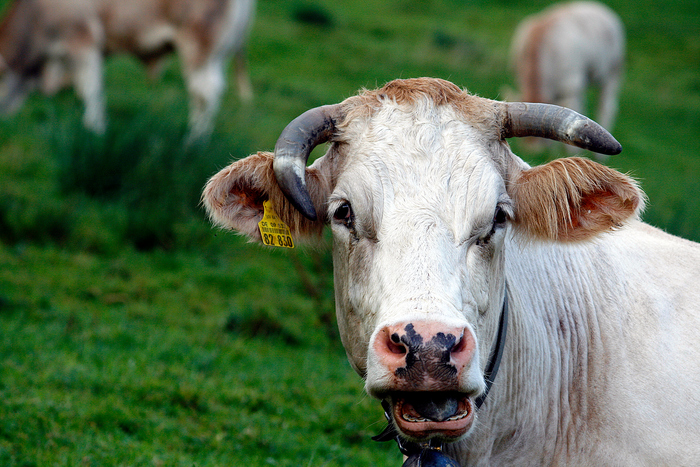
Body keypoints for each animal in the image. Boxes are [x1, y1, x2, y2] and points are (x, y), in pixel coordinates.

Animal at [0, 0, 256, 141]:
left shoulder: (84, 41)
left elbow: (91, 89)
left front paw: (95, 128)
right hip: (218, 55)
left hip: (198, 46)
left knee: (204, 94)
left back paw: (194, 141)